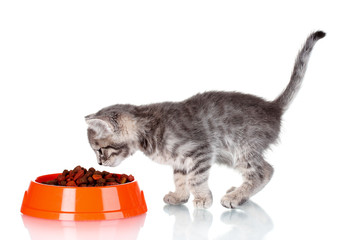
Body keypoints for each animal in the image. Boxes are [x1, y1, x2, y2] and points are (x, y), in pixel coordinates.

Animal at [85, 31, 324, 208]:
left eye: (99, 150)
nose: (99, 163)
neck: (146, 125)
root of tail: (273, 107)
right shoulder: (180, 160)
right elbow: (180, 178)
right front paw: (180, 196)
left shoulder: (200, 151)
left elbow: (195, 178)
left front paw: (201, 198)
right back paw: (238, 191)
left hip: (242, 149)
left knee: (264, 171)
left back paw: (236, 197)